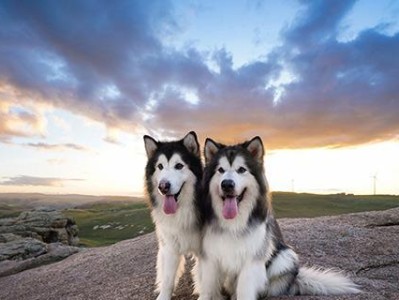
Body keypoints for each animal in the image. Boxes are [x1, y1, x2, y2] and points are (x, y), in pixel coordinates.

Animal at [144, 131, 205, 300]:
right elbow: (168, 279)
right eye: (160, 166)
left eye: (179, 166)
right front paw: (163, 296)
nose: (163, 186)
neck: (182, 210)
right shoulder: (170, 247)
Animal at [198, 137, 360, 300]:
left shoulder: (252, 258)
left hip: (286, 256)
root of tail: (294, 281)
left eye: (242, 169)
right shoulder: (211, 256)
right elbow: (208, 287)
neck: (234, 222)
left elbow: (244, 289)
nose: (227, 184)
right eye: (220, 170)